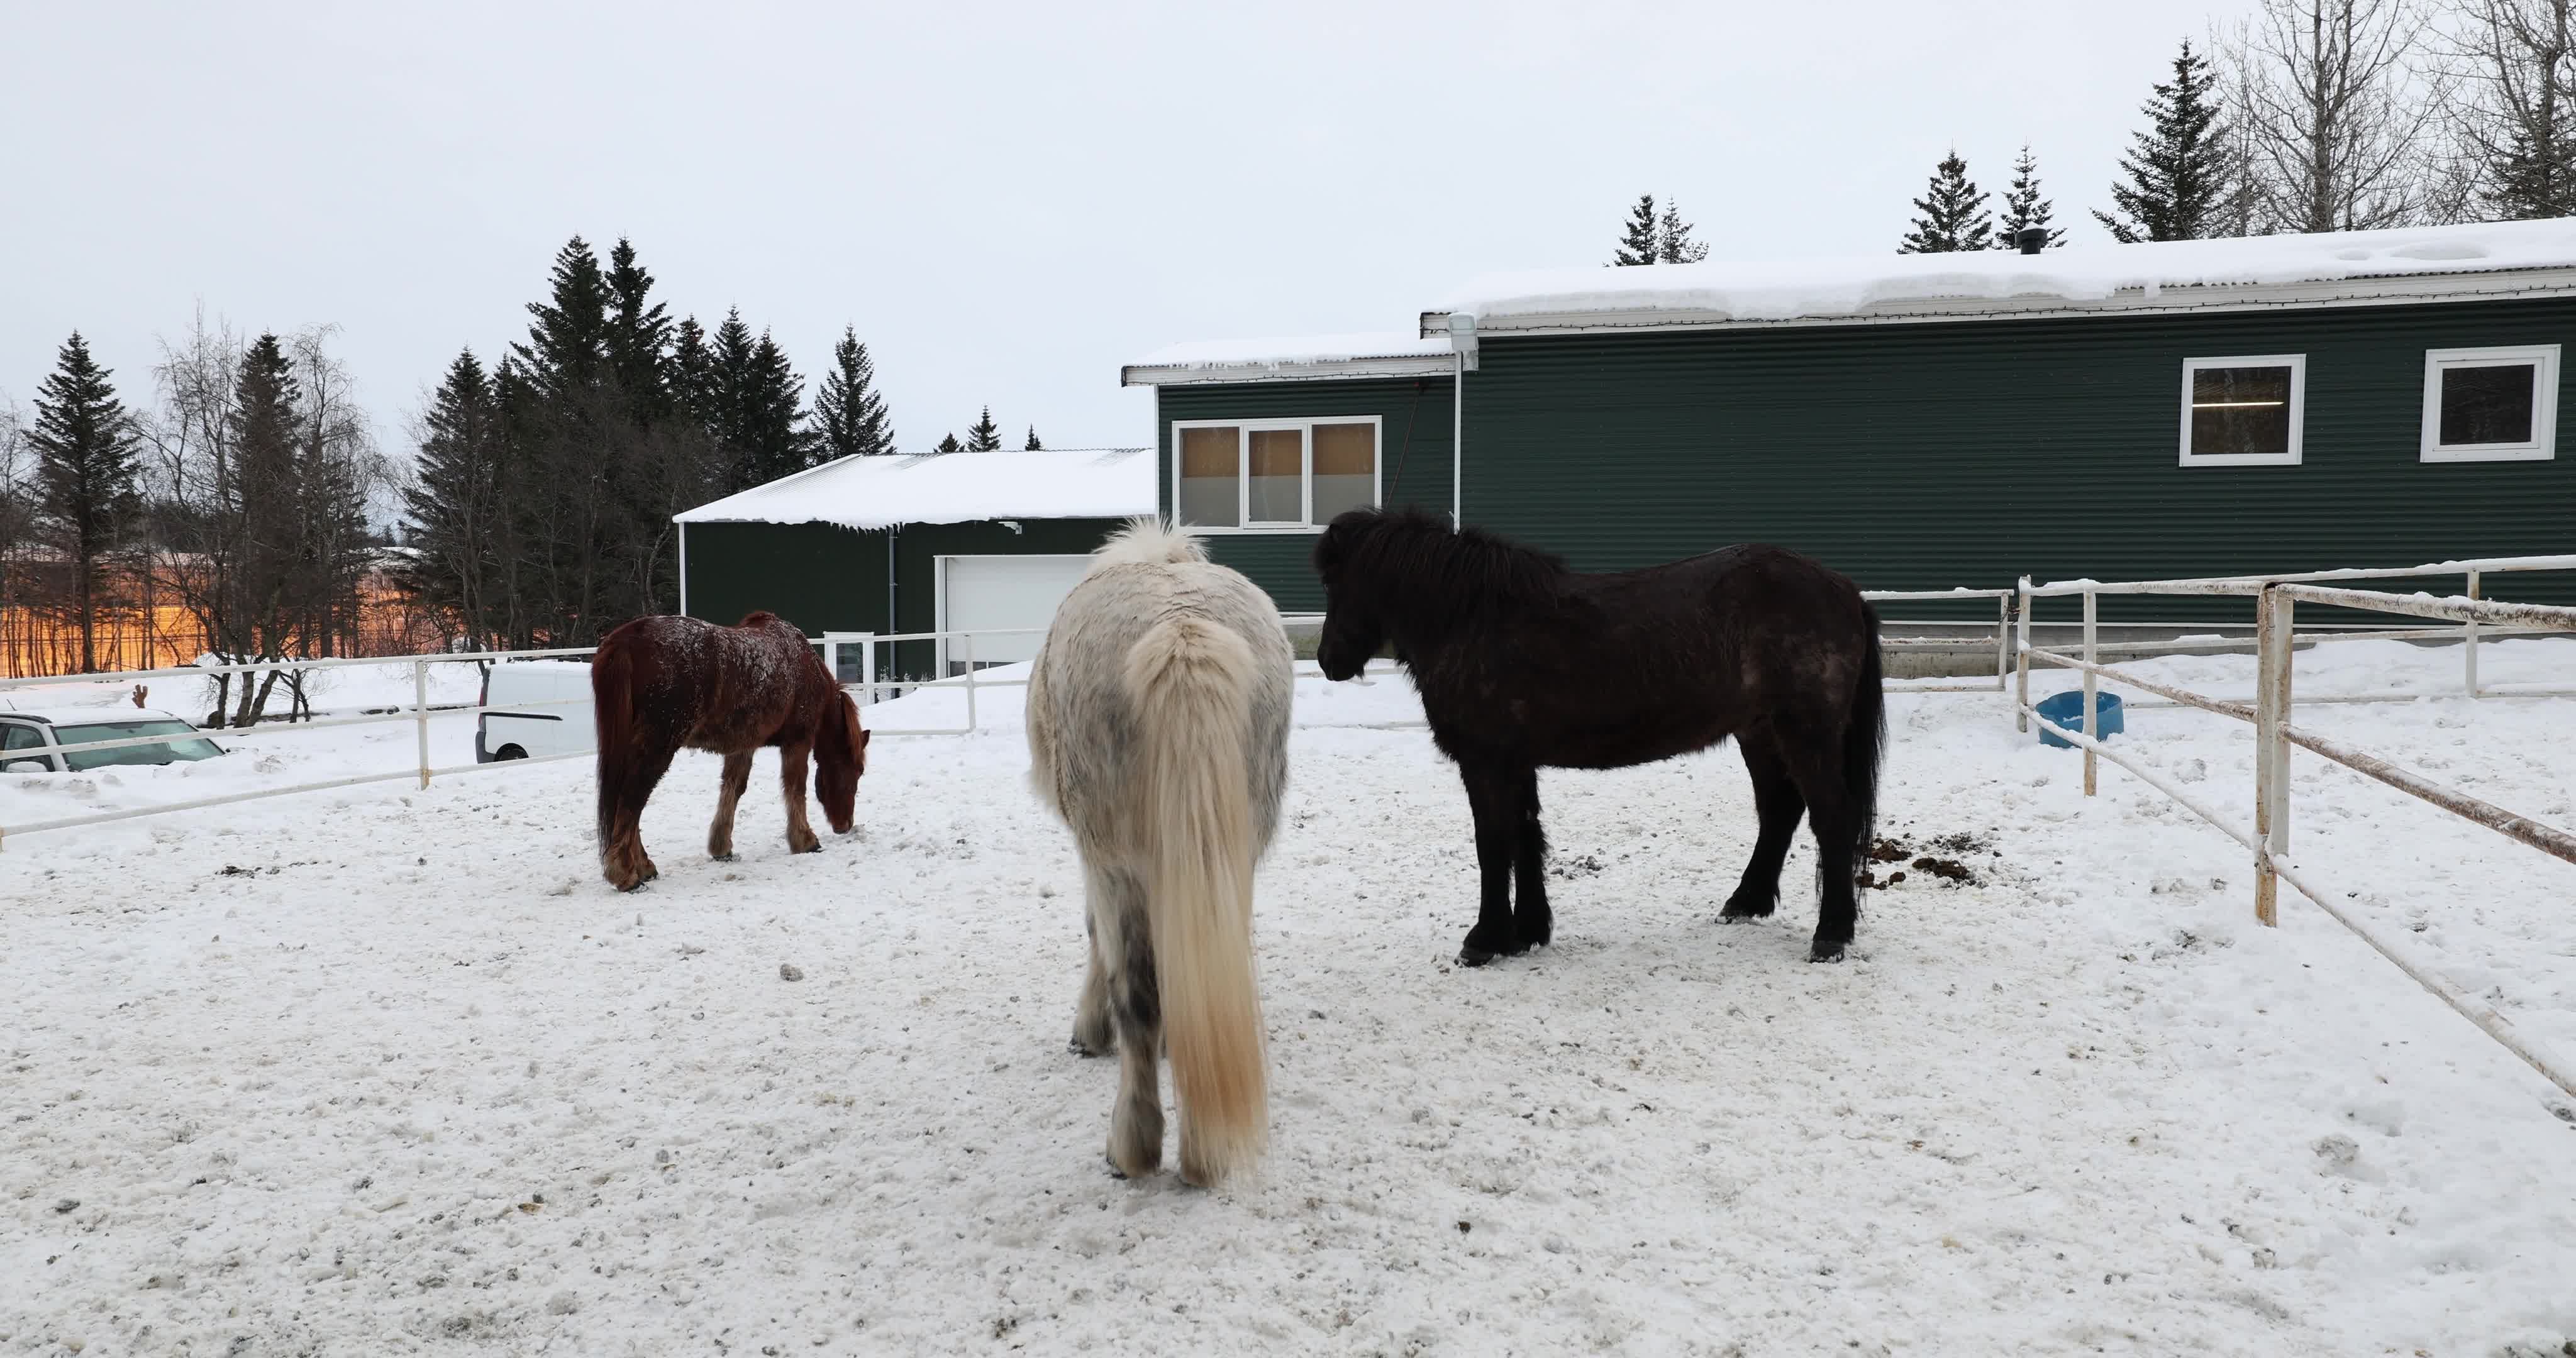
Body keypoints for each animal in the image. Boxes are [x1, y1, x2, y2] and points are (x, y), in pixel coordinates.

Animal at [589, 611, 871, 892]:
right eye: (857, 771)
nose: (845, 825)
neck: (804, 666)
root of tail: (626, 639)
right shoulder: (797, 742)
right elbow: (795, 789)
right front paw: (805, 840)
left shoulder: (743, 745)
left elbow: (733, 789)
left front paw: (721, 847)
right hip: (657, 746)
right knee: (632, 799)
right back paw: (626, 875)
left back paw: (643, 867)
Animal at [1025, 520, 1294, 1187]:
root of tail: (1182, 629)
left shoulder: (1101, 861)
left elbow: (1096, 936)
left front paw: (1089, 1030)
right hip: (1234, 850)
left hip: (1116, 861)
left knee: (1139, 995)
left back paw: (1134, 1146)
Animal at [1311, 507, 1884, 965]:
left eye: (1336, 584)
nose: (1328, 660)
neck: (1473, 620)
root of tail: (1845, 590)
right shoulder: (1516, 761)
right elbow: (1526, 836)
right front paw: (1527, 932)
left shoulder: (1486, 762)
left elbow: (1493, 844)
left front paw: (1485, 939)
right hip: (1759, 734)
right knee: (1780, 811)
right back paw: (1746, 902)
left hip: (1805, 734)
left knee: (1831, 818)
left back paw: (1831, 935)